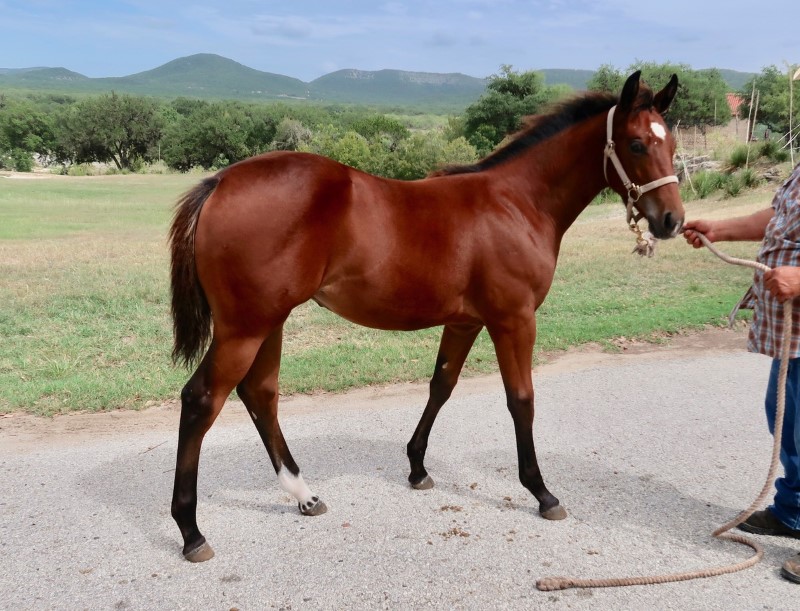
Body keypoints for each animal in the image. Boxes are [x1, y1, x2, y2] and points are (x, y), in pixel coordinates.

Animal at [167, 69, 680, 560]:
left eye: (672, 144)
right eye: (636, 144)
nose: (672, 221)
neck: (516, 202)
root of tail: (221, 183)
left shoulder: (465, 321)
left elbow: (442, 386)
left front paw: (417, 467)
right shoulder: (513, 320)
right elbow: (521, 400)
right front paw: (542, 492)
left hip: (268, 323)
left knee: (260, 393)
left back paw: (304, 495)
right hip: (244, 329)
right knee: (202, 400)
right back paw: (191, 530)